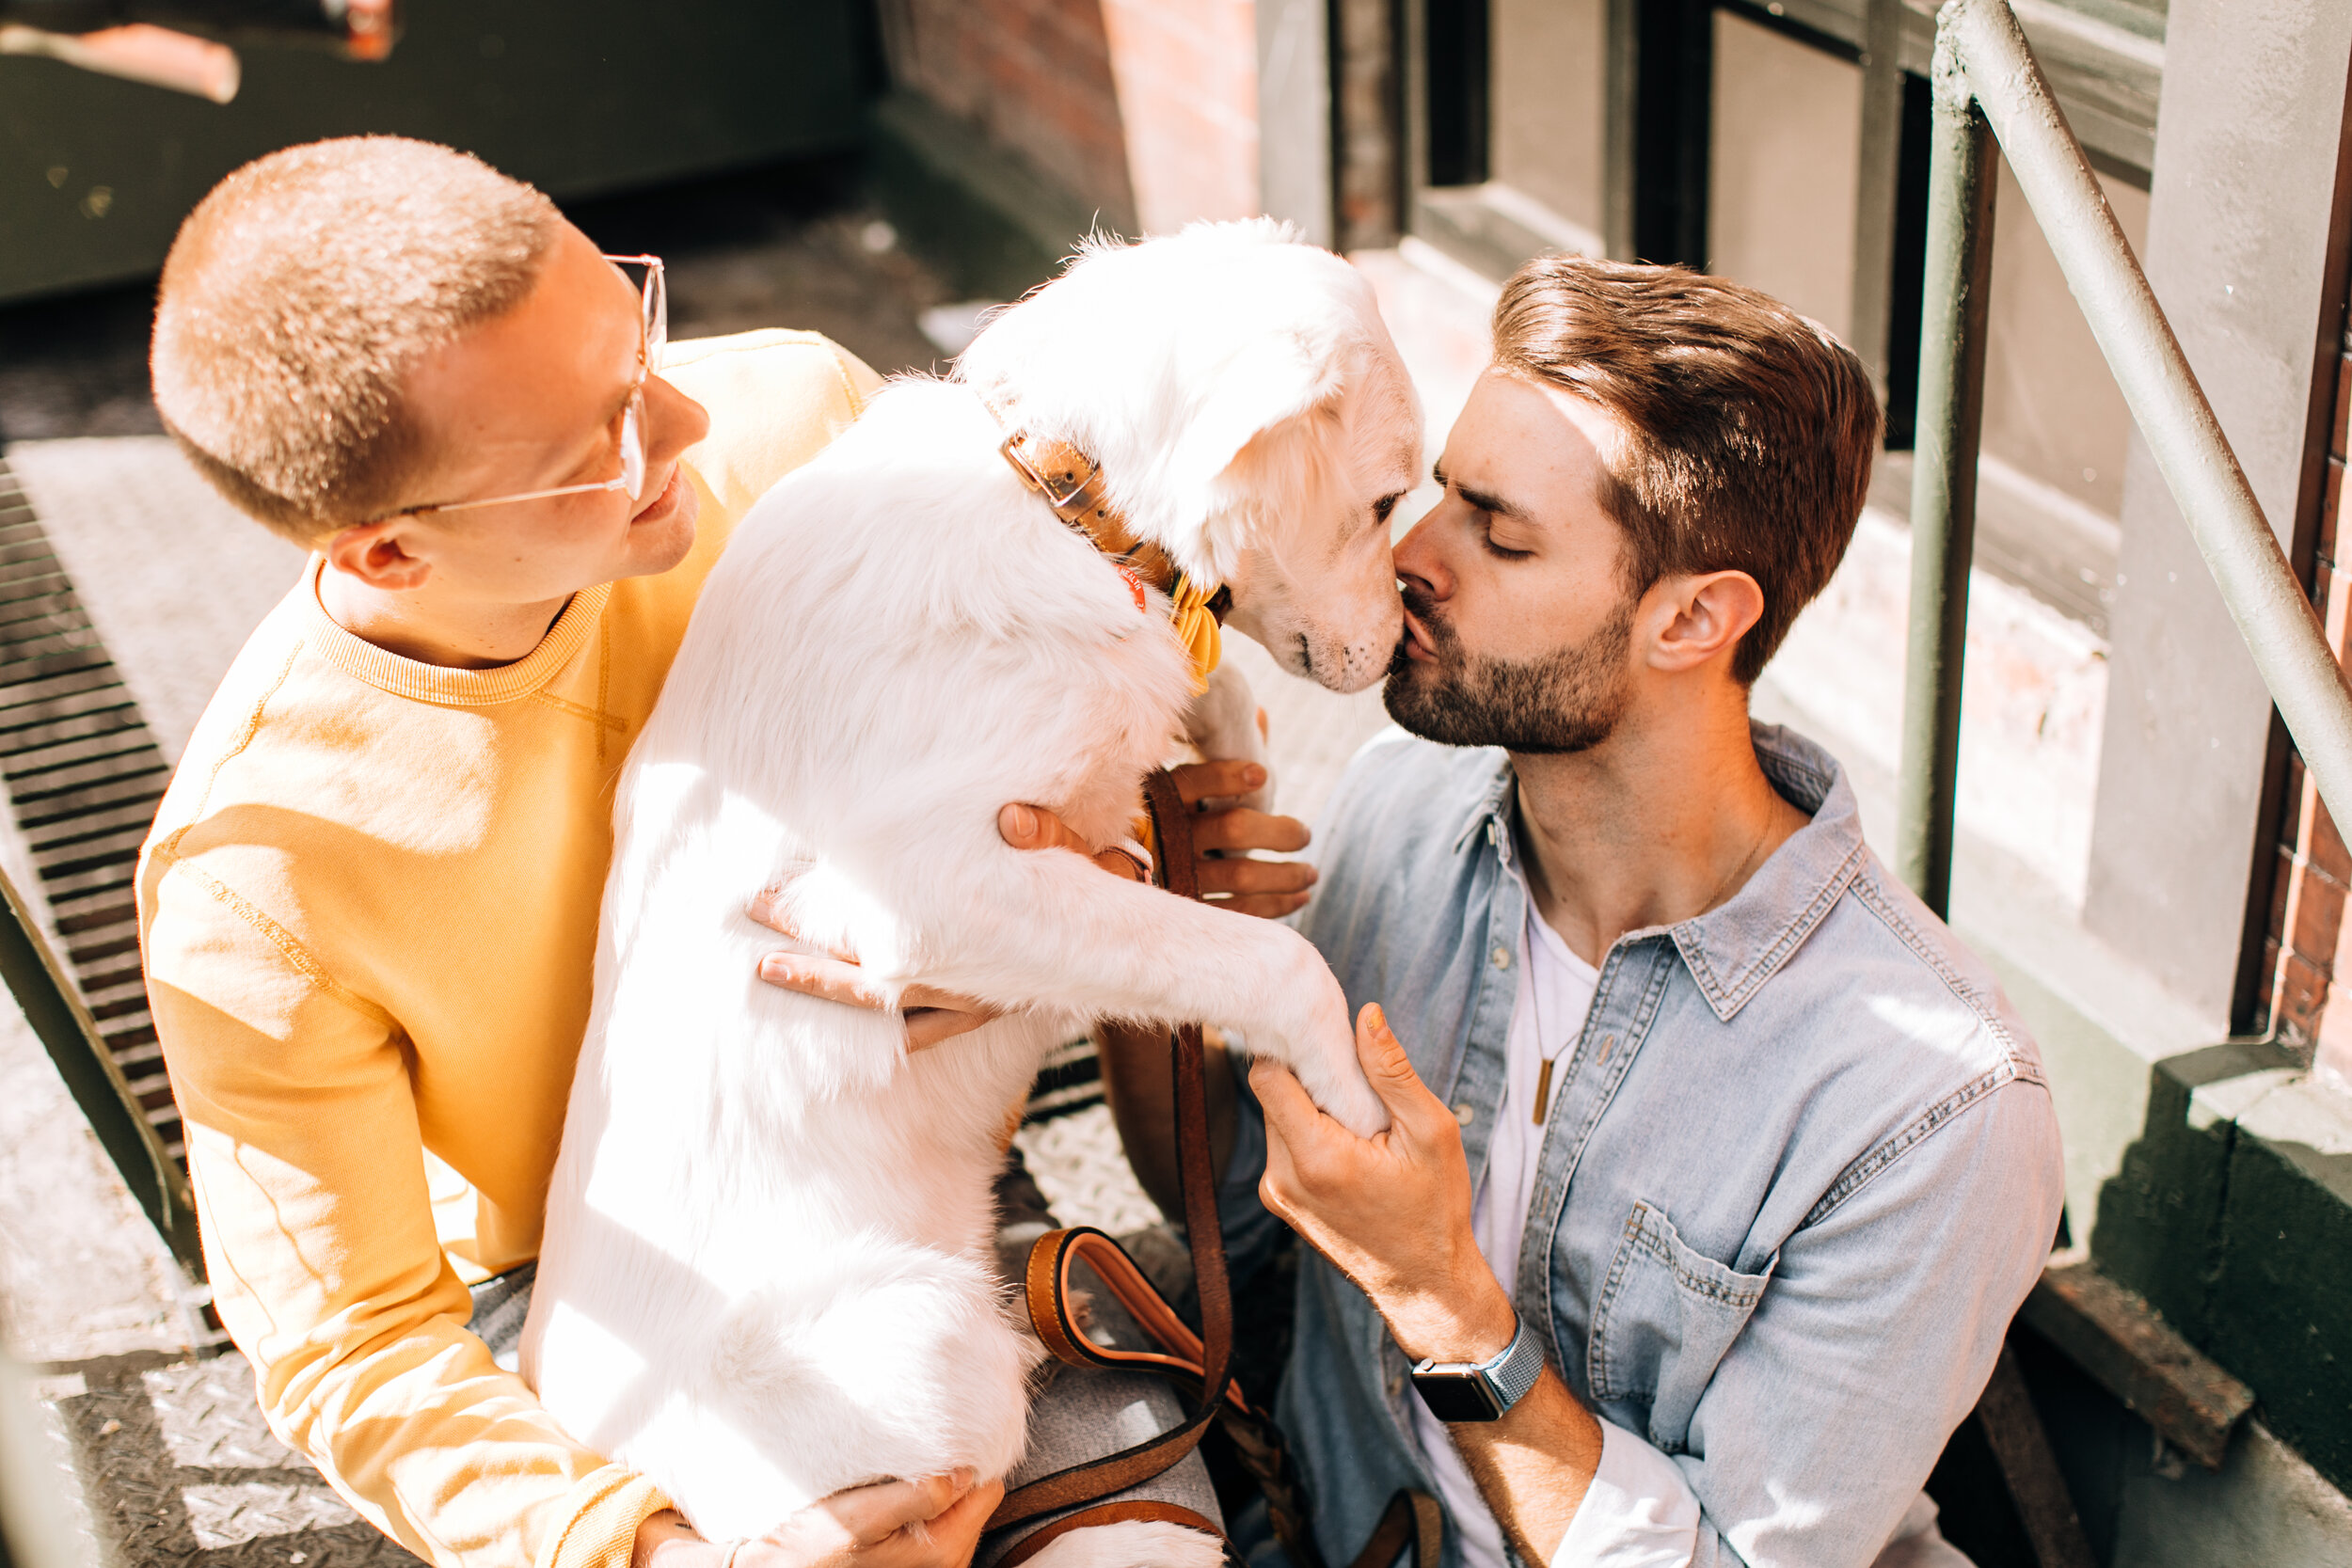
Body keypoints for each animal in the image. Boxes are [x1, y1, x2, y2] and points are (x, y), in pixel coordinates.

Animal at [522, 220, 1411, 1568]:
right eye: (1390, 500)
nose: (1411, 651)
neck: (1058, 501)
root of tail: (607, 1450)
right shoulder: (926, 891)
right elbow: (1271, 959)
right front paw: (1359, 1121)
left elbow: (1204, 698)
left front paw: (1215, 757)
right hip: (935, 1344)